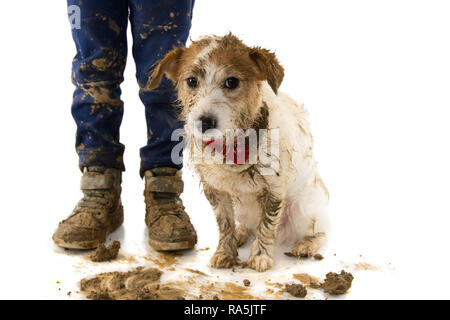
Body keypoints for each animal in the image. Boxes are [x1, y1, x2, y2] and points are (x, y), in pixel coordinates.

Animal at [148, 33, 330, 272]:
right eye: (191, 81)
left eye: (232, 82)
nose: (205, 122)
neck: (231, 144)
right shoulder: (216, 191)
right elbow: (225, 224)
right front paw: (225, 252)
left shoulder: (274, 191)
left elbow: (267, 224)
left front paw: (261, 256)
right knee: (247, 224)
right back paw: (241, 233)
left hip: (303, 209)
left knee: (321, 232)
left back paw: (306, 244)